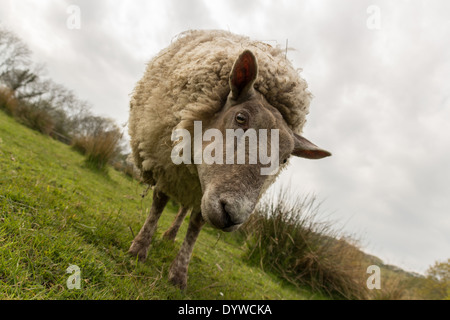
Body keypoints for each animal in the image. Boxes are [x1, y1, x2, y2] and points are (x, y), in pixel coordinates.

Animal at [126, 30, 330, 290]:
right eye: (241, 117)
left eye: (285, 159)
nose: (233, 215)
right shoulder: (165, 163)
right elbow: (159, 203)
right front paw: (139, 249)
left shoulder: (203, 191)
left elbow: (196, 225)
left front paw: (179, 275)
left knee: (184, 208)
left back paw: (170, 236)